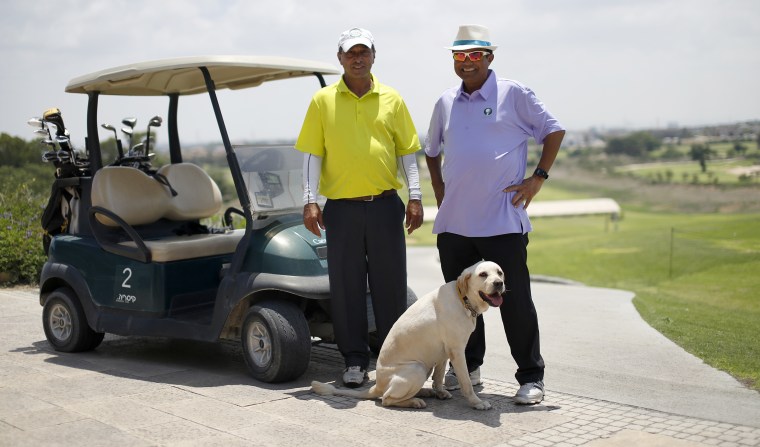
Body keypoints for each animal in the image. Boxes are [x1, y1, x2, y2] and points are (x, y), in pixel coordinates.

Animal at [310, 260, 504, 412]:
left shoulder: (443, 353)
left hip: (426, 366)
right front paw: (476, 403)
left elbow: (439, 377)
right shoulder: (456, 351)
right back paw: (414, 401)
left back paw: (425, 392)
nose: (499, 283)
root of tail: (377, 386)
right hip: (417, 368)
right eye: (483, 274)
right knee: (386, 399)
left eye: (499, 272)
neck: (463, 299)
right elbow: (466, 383)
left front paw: (440, 391)